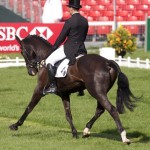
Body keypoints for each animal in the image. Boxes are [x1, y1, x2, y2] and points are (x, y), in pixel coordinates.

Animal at [9, 34, 139, 144]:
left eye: (22, 51)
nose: (32, 72)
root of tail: (107, 62)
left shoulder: (39, 90)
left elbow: (29, 107)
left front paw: (15, 125)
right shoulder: (64, 94)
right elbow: (68, 114)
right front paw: (74, 133)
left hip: (96, 91)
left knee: (111, 109)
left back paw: (124, 137)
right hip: (100, 92)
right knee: (100, 110)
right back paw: (86, 131)